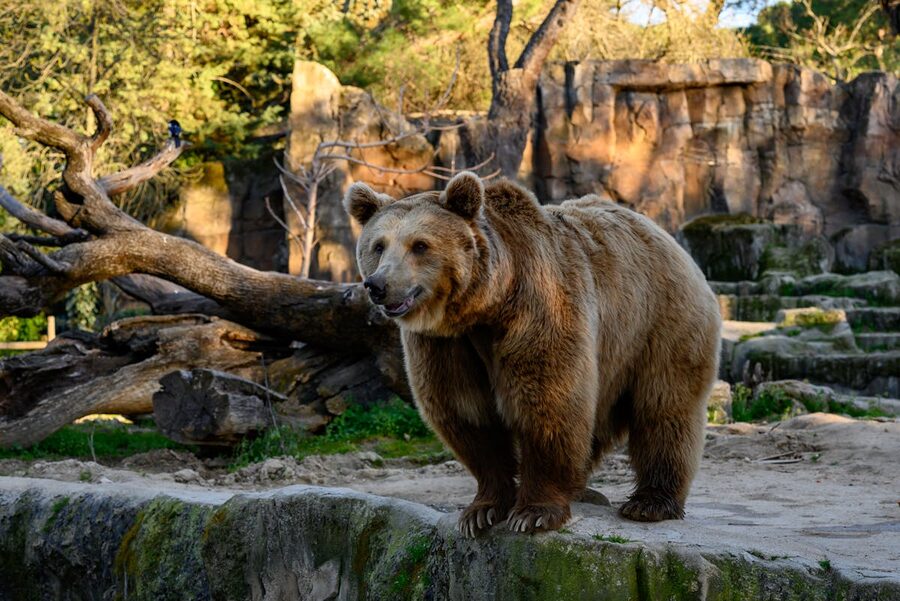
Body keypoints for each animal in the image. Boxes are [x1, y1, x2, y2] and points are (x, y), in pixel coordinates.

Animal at [344, 172, 721, 537]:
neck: (484, 307)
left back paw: (650, 502)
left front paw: (533, 513)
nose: (377, 285)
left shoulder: (537, 309)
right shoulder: (445, 344)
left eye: (420, 245)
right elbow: (467, 412)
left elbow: (548, 404)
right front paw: (481, 512)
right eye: (378, 245)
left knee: (664, 407)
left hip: (659, 322)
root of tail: (663, 233)